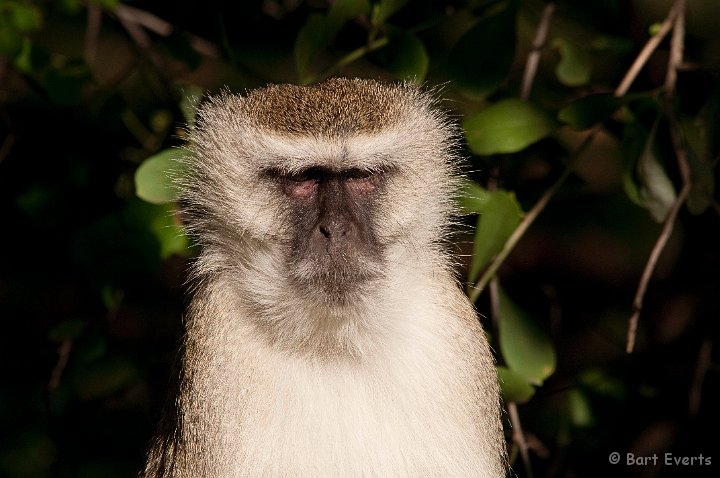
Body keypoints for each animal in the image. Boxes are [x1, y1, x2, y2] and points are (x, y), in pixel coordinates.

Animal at [142, 76, 506, 476]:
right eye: (304, 178)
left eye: (360, 176)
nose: (336, 229)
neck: (337, 343)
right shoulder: (217, 336)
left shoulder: (449, 331)